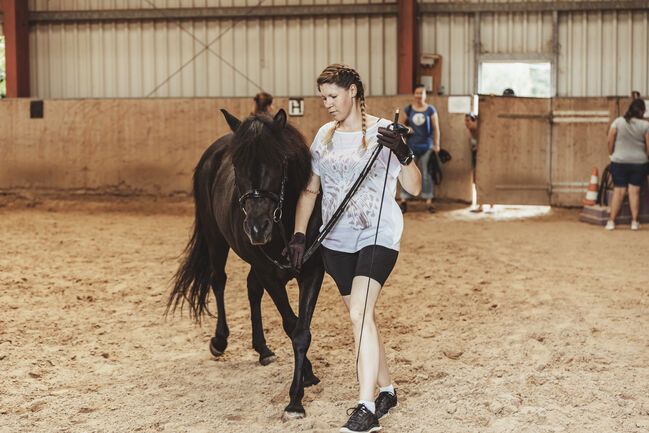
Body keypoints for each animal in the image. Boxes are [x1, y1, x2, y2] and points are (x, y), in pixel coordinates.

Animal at [168, 109, 324, 418]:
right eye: (236, 164)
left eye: (279, 161)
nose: (256, 228)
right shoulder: (270, 274)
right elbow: (291, 324)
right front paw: (298, 392)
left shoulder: (311, 272)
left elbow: (301, 331)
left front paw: (304, 384)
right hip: (215, 238)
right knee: (218, 281)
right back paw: (220, 340)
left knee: (252, 289)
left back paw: (263, 349)